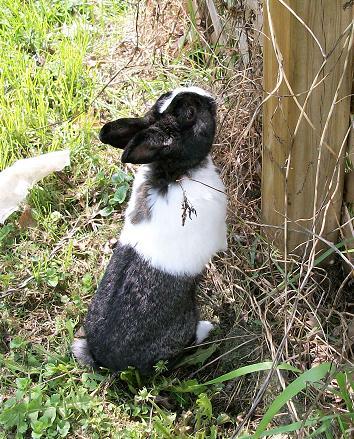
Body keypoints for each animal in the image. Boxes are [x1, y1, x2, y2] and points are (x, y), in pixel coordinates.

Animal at [72, 87, 227, 374]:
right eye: (190, 113)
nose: (209, 97)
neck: (173, 172)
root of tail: (104, 360)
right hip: (184, 323)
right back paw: (207, 328)